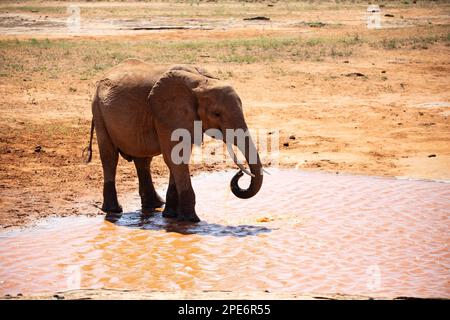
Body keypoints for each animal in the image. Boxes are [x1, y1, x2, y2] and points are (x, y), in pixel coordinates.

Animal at [85, 58, 264, 222]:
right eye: (217, 114)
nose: (239, 173)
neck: (200, 82)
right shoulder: (166, 115)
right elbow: (175, 158)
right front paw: (191, 220)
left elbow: (177, 157)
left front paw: (171, 216)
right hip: (98, 110)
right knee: (110, 157)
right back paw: (114, 210)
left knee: (143, 160)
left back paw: (155, 205)